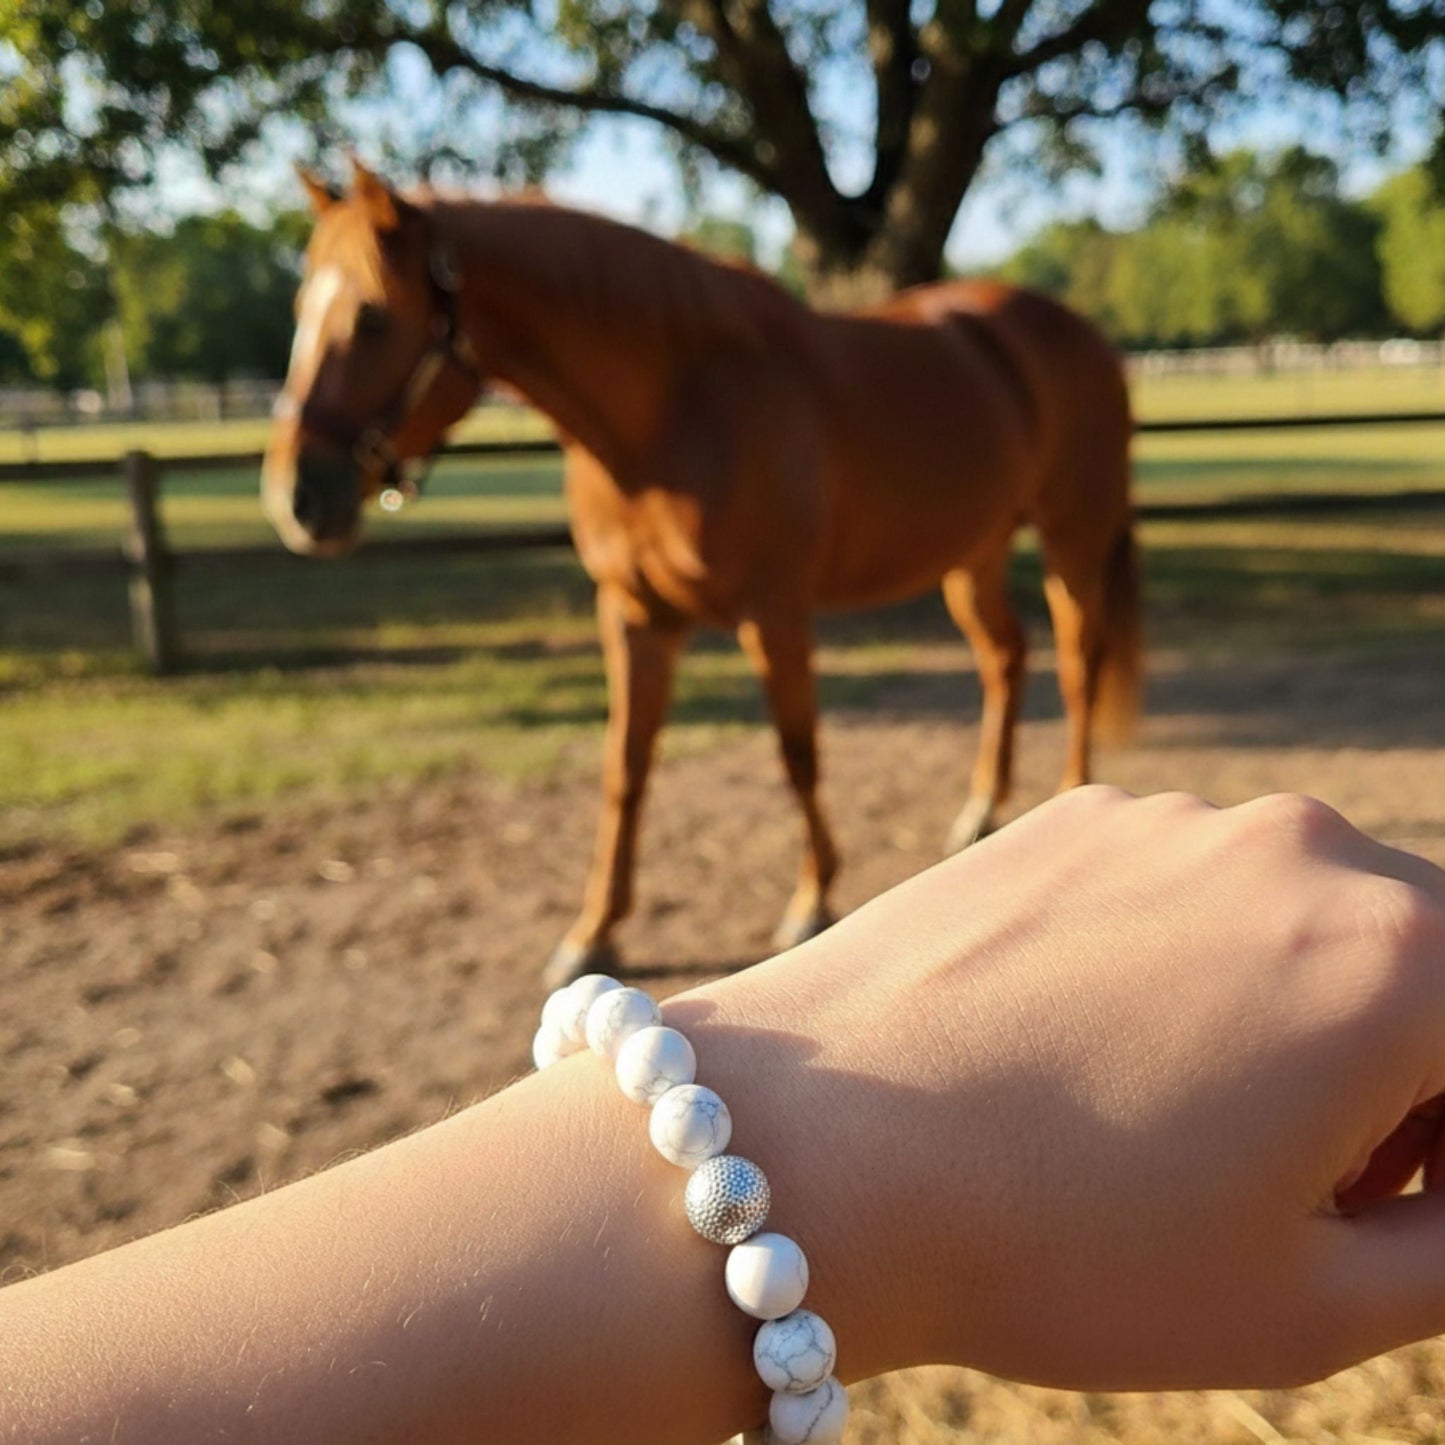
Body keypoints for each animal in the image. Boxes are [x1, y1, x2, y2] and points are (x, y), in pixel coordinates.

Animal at [263, 159, 1140, 990]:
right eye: (300, 309)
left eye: (371, 315)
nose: (294, 498)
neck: (670, 412)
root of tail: (1080, 335)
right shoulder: (634, 614)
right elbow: (625, 767)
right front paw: (593, 931)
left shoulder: (773, 613)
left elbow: (797, 754)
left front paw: (811, 899)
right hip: (971, 555)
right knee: (1005, 657)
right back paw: (980, 811)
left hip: (1070, 537)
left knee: (1076, 659)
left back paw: (1068, 795)